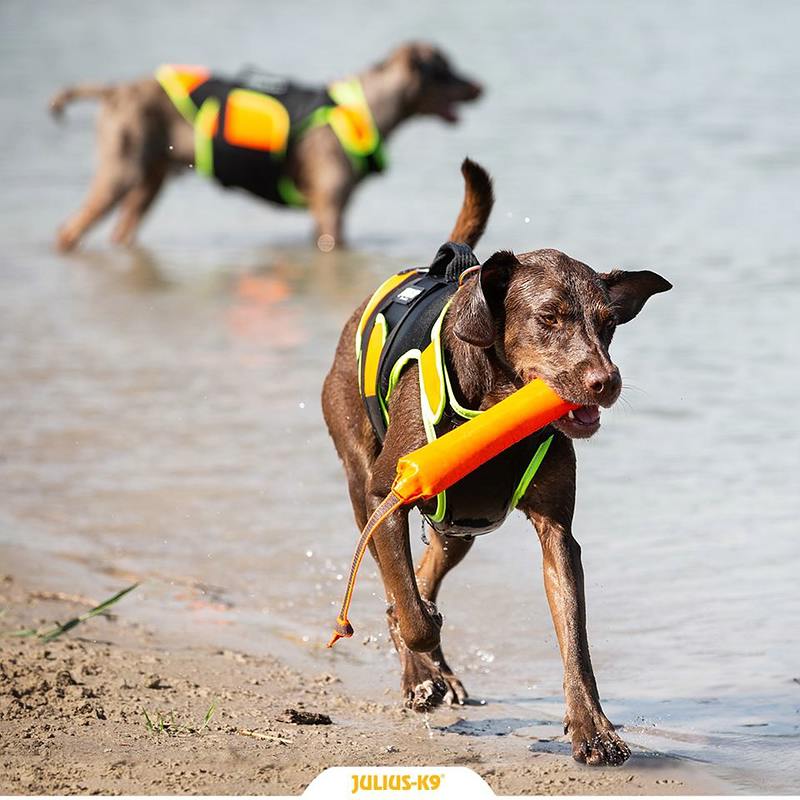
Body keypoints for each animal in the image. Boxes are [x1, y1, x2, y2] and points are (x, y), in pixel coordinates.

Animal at [49, 42, 481, 253]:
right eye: (446, 70)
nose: (481, 86)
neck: (364, 107)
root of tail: (114, 90)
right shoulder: (330, 210)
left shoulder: (323, 213)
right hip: (119, 174)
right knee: (68, 231)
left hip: (148, 184)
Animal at [322, 159, 671, 766]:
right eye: (548, 317)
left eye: (608, 323)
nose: (607, 381)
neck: (496, 407)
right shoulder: (387, 494)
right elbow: (408, 606)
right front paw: (422, 660)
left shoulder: (558, 531)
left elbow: (574, 637)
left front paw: (593, 729)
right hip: (358, 461)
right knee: (398, 583)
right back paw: (423, 674)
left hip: (462, 521)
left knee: (431, 566)